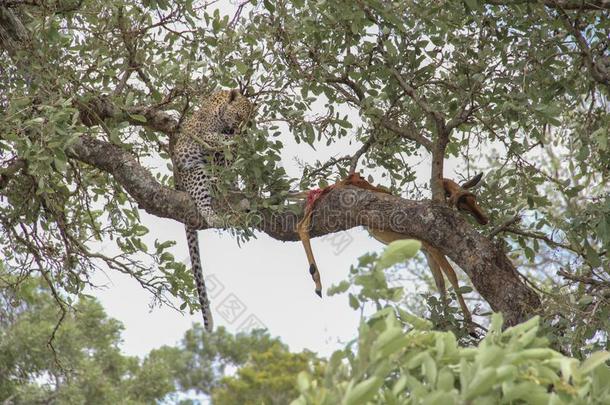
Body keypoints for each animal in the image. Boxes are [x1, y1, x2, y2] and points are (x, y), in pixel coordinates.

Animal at [171, 89, 254, 332]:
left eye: (248, 120)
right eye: (239, 116)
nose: (241, 130)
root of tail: (177, 184)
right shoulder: (203, 134)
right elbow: (216, 139)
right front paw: (234, 140)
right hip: (196, 172)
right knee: (203, 202)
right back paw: (217, 213)